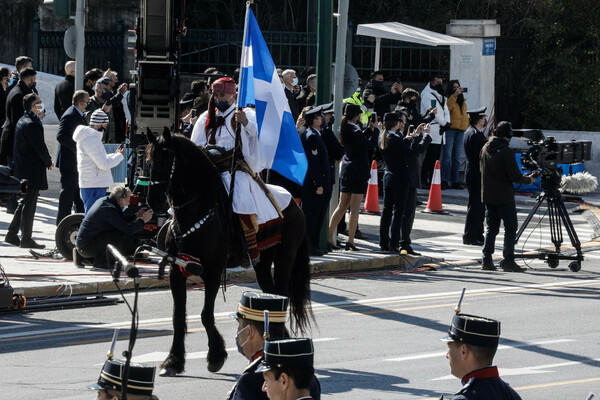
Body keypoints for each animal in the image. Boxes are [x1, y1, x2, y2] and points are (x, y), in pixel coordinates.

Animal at [146, 128, 314, 376]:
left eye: (167, 159)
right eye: (148, 160)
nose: (153, 200)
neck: (196, 212)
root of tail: (293, 202)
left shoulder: (212, 272)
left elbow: (206, 315)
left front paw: (216, 356)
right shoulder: (177, 271)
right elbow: (178, 316)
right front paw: (174, 361)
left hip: (285, 258)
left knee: (282, 295)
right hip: (262, 262)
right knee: (270, 293)